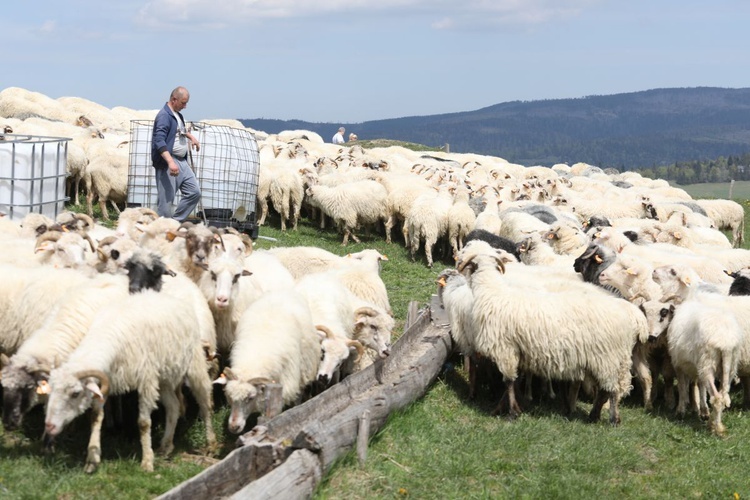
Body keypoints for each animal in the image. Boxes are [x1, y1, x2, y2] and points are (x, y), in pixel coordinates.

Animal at [43, 290, 216, 472]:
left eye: (75, 393)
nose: (49, 426)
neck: (107, 333)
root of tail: (171, 298)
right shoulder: (106, 382)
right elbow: (96, 417)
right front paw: (92, 459)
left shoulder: (146, 380)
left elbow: (144, 423)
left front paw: (147, 461)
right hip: (164, 377)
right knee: (173, 407)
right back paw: (166, 446)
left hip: (194, 362)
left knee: (205, 403)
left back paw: (210, 443)